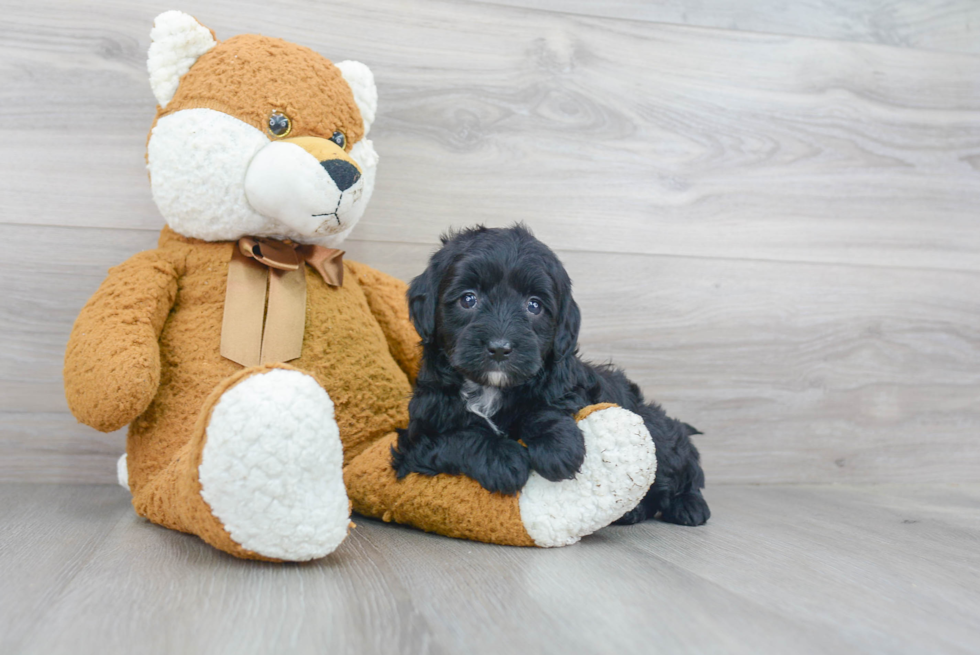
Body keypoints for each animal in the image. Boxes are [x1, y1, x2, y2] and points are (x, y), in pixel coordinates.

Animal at [392, 226, 712, 528]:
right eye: (468, 299)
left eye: (534, 305)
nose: (500, 347)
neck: (491, 389)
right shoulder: (418, 438)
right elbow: (456, 436)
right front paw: (502, 458)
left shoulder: (567, 389)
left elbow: (547, 408)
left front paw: (557, 447)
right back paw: (634, 512)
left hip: (657, 430)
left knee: (683, 465)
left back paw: (689, 506)